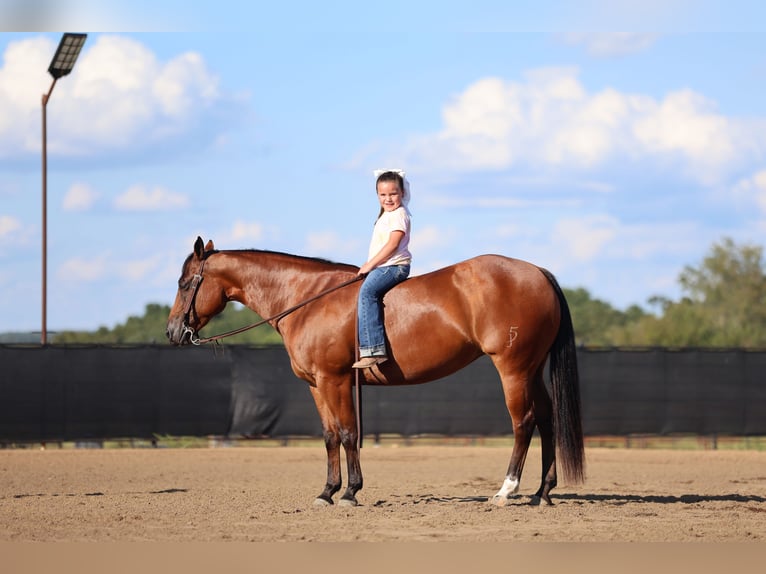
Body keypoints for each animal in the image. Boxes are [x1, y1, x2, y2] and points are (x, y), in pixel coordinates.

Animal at [166, 236, 584, 507]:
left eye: (185, 283)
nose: (173, 332)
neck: (307, 299)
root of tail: (538, 273)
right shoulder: (316, 385)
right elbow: (330, 436)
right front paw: (328, 491)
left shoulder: (335, 380)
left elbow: (349, 433)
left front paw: (350, 492)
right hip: (532, 369)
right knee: (547, 419)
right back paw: (542, 493)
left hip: (513, 369)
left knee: (524, 422)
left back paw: (506, 491)